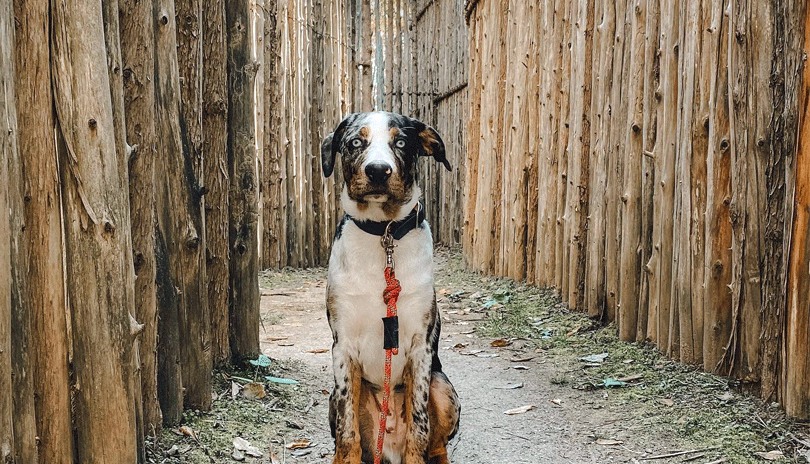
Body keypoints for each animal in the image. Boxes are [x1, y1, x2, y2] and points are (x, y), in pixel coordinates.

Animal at [322, 112, 460, 464]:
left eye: (401, 142)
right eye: (355, 142)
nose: (378, 170)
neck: (383, 234)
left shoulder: (421, 348)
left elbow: (419, 428)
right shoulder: (343, 347)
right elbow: (347, 433)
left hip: (442, 386)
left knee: (436, 445)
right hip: (332, 397)